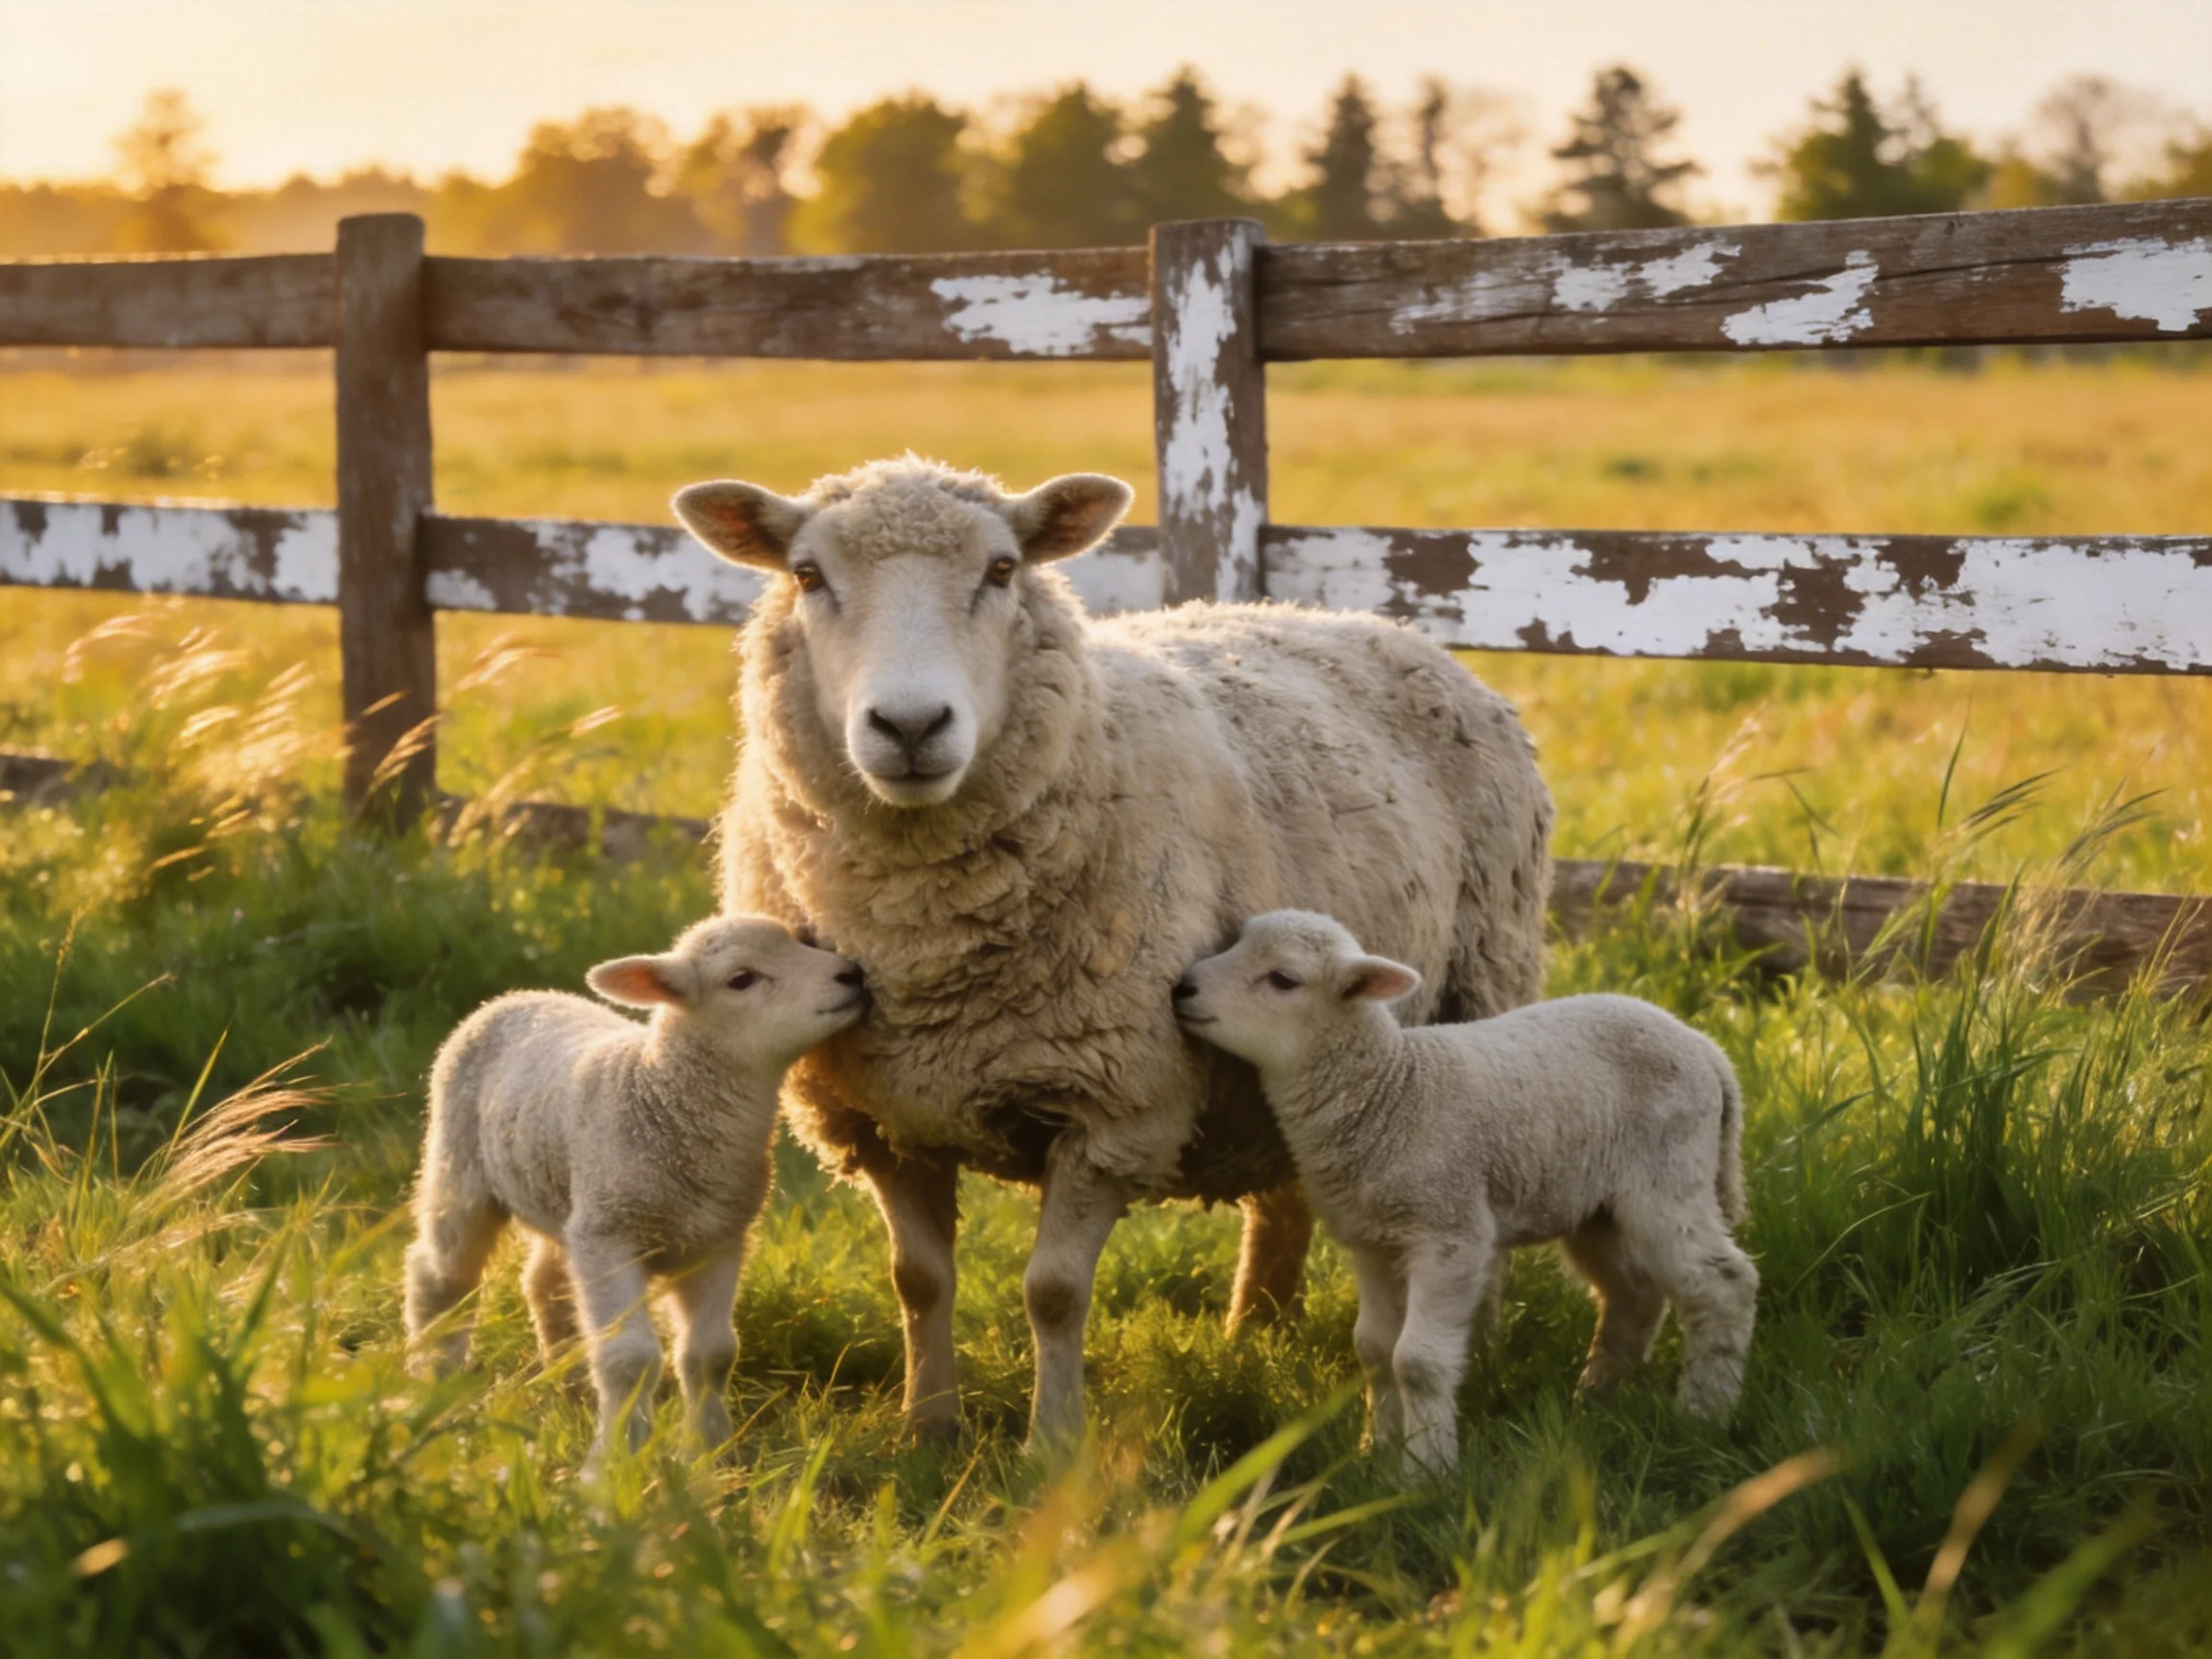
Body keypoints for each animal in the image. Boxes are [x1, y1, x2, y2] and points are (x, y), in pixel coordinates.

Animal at [402, 916, 868, 1460]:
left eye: (803, 941)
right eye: (742, 979)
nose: (852, 975)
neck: (662, 1095)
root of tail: (513, 996)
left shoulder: (718, 1239)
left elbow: (711, 1354)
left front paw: (710, 1452)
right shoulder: (611, 1237)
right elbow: (630, 1359)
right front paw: (616, 1458)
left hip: (567, 1195)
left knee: (545, 1282)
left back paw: (572, 1386)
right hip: (461, 1167)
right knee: (441, 1275)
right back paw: (436, 1380)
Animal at [671, 456, 1554, 1450]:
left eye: (1003, 569)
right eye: (807, 575)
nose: (909, 727)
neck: (928, 942)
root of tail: (1374, 621)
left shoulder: (1116, 1102)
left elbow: (1054, 1293)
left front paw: (1053, 1444)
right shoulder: (876, 1113)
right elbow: (919, 1282)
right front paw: (928, 1429)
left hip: (1484, 987)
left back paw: (1475, 1341)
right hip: (1298, 1038)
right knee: (1285, 1193)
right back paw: (1255, 1333)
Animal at [1174, 910, 1756, 1479]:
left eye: (1283, 979)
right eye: (1236, 942)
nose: (1182, 987)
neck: (1389, 1092)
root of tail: (1707, 1050)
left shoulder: (1450, 1229)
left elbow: (1418, 1361)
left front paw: (1426, 1472)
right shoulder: (1373, 1240)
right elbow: (1375, 1350)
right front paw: (1375, 1453)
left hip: (1668, 1176)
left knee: (1724, 1284)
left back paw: (1702, 1414)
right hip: (1596, 1205)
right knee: (1633, 1294)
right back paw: (1595, 1400)